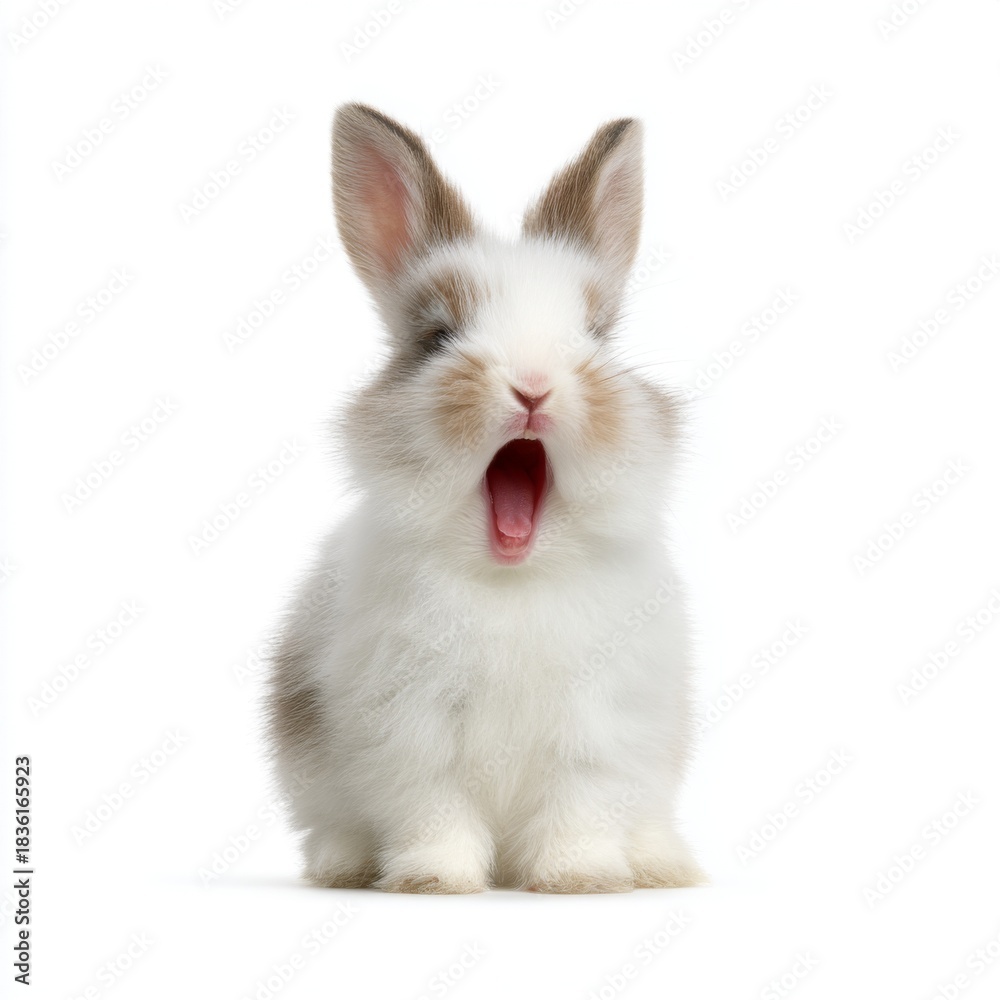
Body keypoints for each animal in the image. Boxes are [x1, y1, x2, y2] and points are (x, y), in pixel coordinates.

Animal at [266, 102, 706, 894]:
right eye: (438, 336)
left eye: (595, 337)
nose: (533, 386)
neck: (515, 578)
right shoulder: (410, 733)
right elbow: (433, 813)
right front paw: (433, 882)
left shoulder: (599, 732)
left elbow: (580, 810)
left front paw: (579, 880)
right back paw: (344, 865)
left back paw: (661, 865)